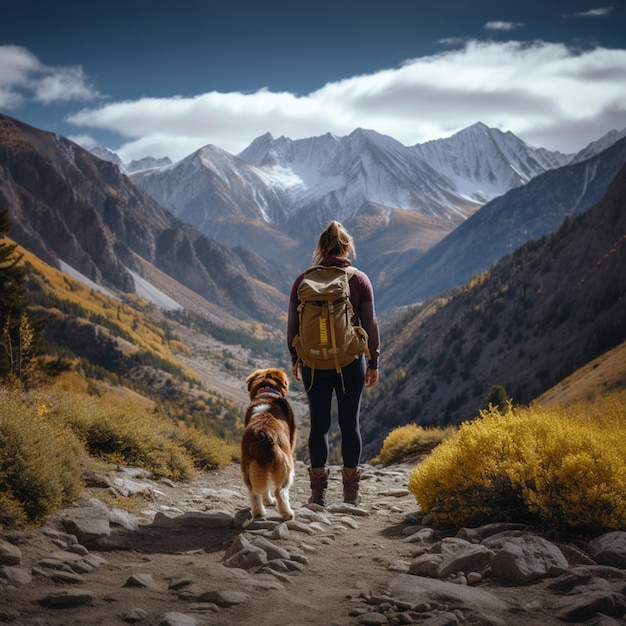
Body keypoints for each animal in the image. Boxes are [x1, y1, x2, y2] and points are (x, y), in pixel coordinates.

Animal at [240, 366, 296, 516]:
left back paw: (259, 512)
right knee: (280, 491)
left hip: (249, 465)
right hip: (286, 465)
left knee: (254, 491)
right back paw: (287, 513)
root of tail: (264, 434)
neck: (267, 393)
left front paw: (267, 501)